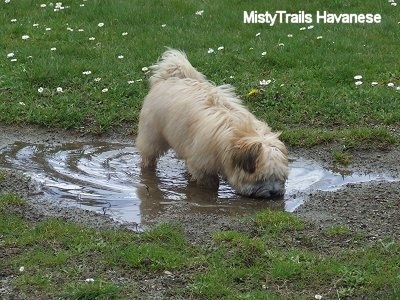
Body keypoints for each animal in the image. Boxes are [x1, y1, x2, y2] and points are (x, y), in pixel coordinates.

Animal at [136, 48, 290, 199]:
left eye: (281, 178)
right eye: (261, 178)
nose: (274, 193)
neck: (236, 135)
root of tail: (169, 78)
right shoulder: (202, 163)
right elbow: (208, 181)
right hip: (152, 135)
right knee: (149, 154)